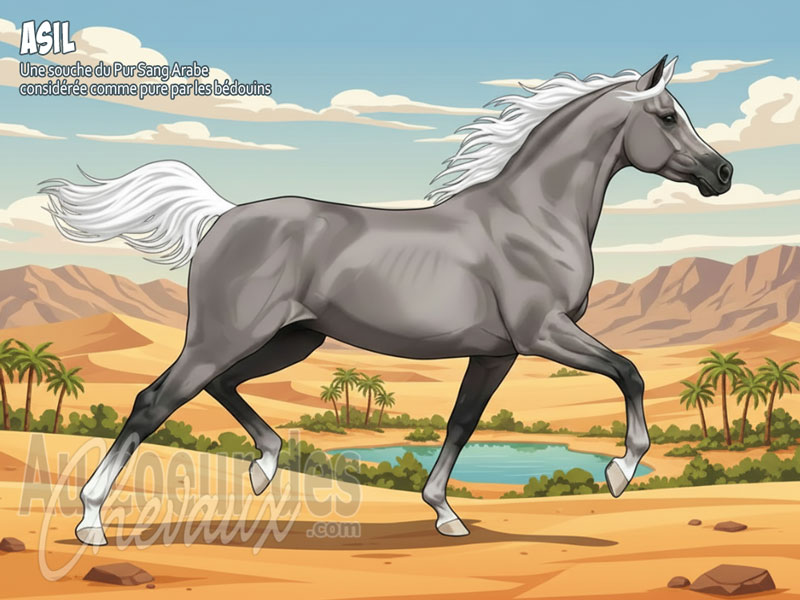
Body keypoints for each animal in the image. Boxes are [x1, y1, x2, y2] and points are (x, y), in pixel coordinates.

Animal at [44, 56, 732, 545]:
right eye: (667, 116)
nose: (723, 173)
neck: (531, 215)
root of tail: (221, 216)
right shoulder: (543, 332)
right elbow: (629, 371)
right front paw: (620, 472)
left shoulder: (498, 353)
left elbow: (461, 422)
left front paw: (445, 514)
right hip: (226, 336)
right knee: (154, 400)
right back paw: (91, 520)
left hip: (292, 339)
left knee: (219, 385)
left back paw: (264, 467)